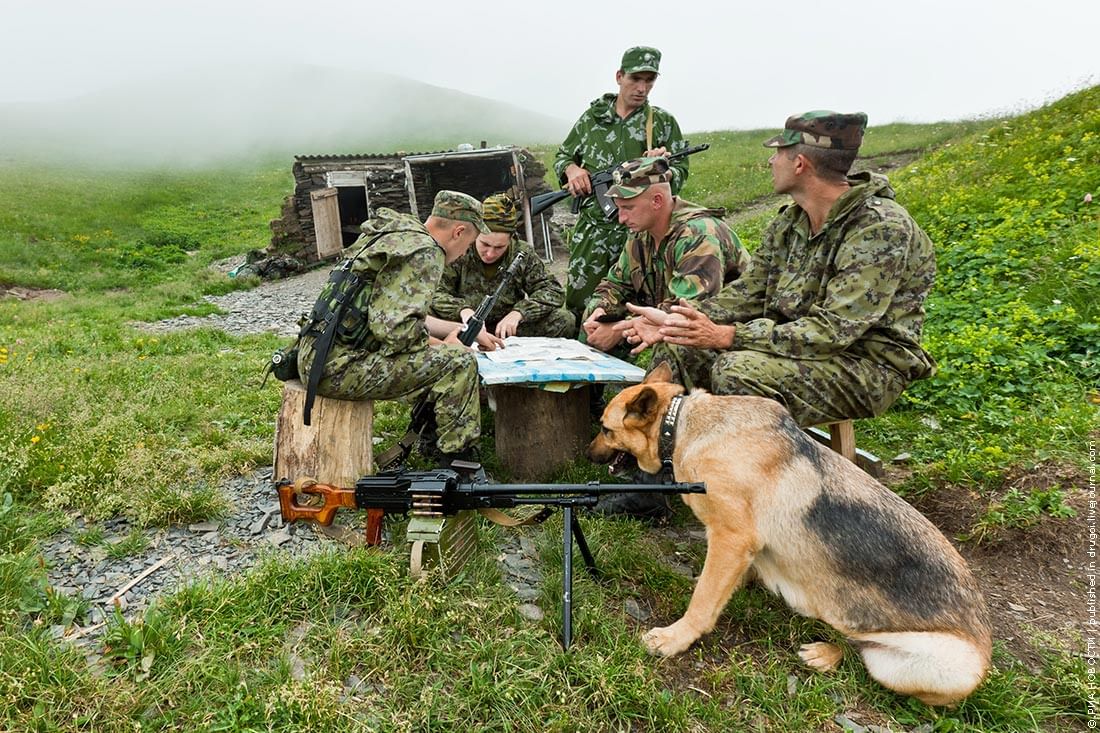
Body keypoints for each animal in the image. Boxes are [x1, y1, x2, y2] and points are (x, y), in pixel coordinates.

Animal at [589, 363, 994, 704]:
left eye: (605, 428)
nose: (589, 453)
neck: (683, 427)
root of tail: (986, 647)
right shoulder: (738, 549)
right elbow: (723, 583)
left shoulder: (731, 538)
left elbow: (703, 600)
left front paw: (676, 637)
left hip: (926, 665)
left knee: (867, 657)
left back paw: (827, 655)